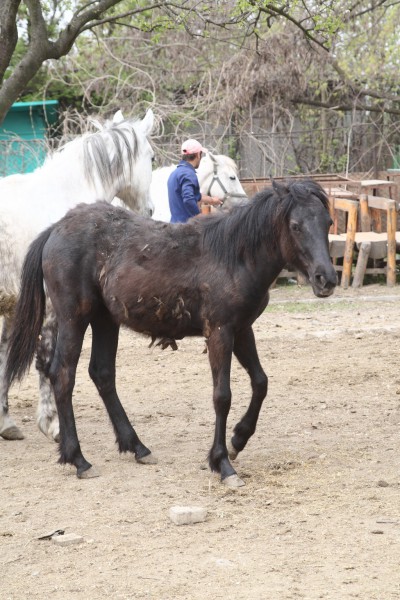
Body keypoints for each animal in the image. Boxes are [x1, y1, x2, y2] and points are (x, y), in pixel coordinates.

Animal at [0, 109, 155, 440]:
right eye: (151, 156)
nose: (149, 209)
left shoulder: (13, 307)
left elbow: (5, 360)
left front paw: (6, 421)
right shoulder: (52, 308)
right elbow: (46, 360)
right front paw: (52, 423)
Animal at [6, 180, 338, 486]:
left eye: (328, 222)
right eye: (295, 226)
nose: (327, 279)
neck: (235, 255)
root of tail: (56, 228)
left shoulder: (242, 329)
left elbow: (260, 382)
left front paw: (238, 440)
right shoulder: (220, 332)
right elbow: (222, 396)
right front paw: (222, 463)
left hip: (105, 319)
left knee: (102, 374)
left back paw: (137, 447)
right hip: (73, 317)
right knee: (62, 374)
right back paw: (78, 458)